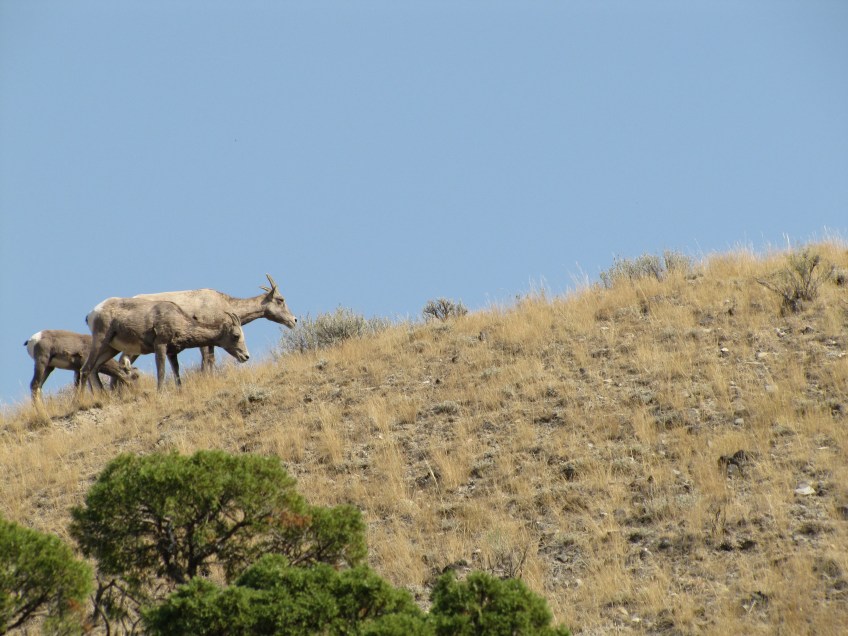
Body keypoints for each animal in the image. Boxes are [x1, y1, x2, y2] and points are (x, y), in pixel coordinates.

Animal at [79, 298, 250, 392]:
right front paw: (160, 393)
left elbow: (176, 373)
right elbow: (161, 372)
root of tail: (92, 313)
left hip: (111, 349)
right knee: (85, 369)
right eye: (236, 336)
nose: (246, 356)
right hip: (100, 341)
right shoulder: (160, 346)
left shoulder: (172, 353)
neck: (179, 320)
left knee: (94, 369)